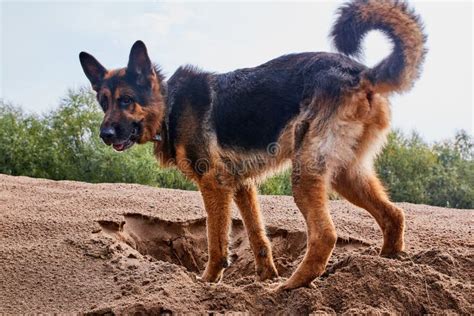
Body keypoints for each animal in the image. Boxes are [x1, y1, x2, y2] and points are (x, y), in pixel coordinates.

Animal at [78, 0, 426, 292]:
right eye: (103, 102)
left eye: (126, 101)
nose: (105, 134)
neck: (169, 104)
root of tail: (363, 72)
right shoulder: (242, 186)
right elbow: (258, 236)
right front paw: (264, 277)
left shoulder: (214, 185)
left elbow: (216, 242)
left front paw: (209, 281)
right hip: (346, 175)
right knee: (394, 215)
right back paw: (387, 264)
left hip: (305, 175)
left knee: (325, 235)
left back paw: (291, 285)